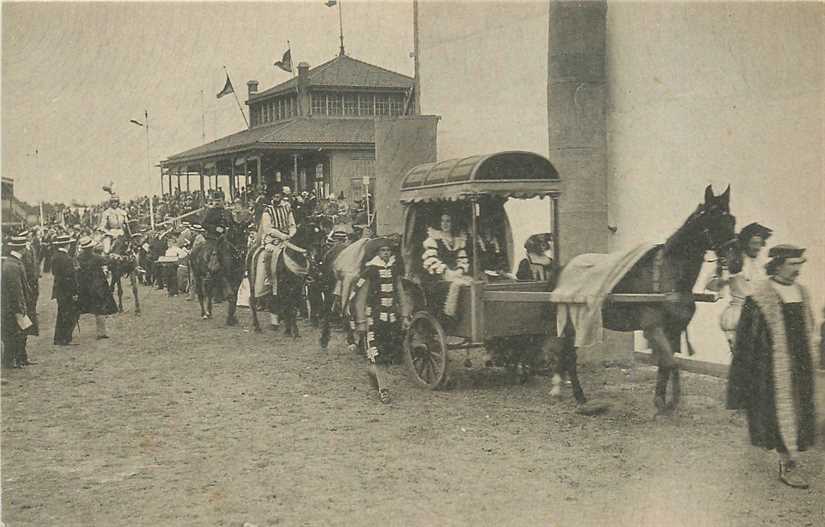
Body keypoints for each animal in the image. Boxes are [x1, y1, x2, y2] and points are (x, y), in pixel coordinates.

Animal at [552, 188, 732, 414]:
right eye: (714, 219)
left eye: (731, 220)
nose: (735, 257)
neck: (667, 275)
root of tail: (564, 268)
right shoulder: (653, 328)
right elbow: (671, 363)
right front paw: (670, 402)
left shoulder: (673, 330)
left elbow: (666, 364)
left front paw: (661, 400)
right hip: (573, 324)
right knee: (568, 356)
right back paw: (577, 395)